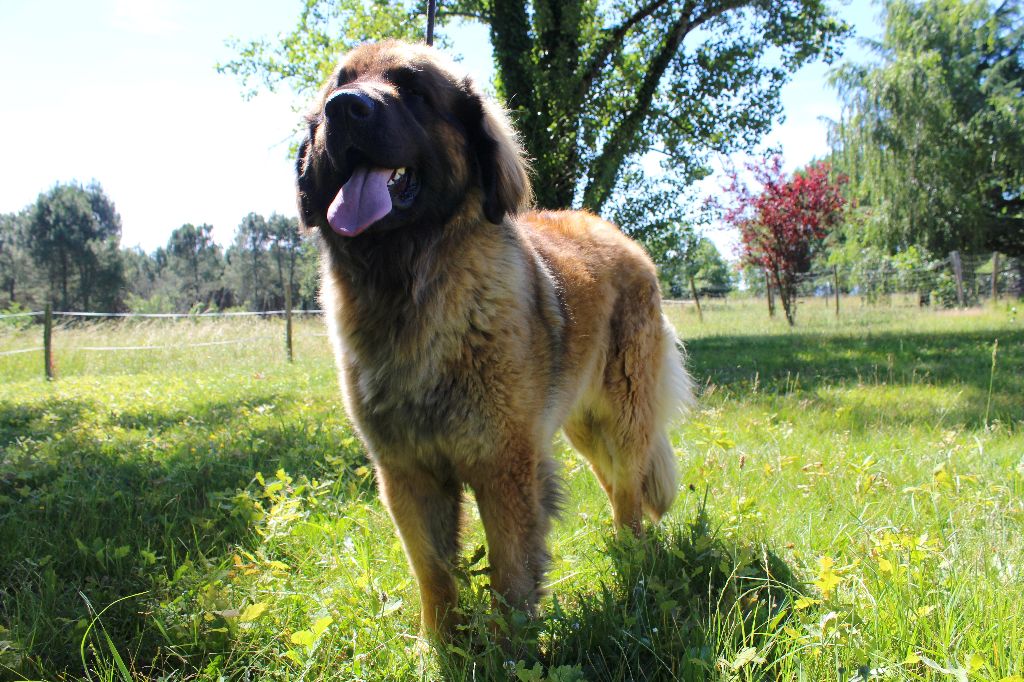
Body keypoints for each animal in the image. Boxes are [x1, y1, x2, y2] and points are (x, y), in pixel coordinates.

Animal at [296, 39, 696, 634]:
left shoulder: (504, 464)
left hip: (623, 409)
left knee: (628, 486)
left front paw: (513, 644)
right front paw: (440, 643)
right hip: (579, 421)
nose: (344, 108)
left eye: (412, 89)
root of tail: (619, 237)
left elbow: (510, 571)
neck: (410, 287)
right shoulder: (407, 472)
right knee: (610, 479)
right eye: (337, 86)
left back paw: (633, 560)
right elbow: (434, 570)